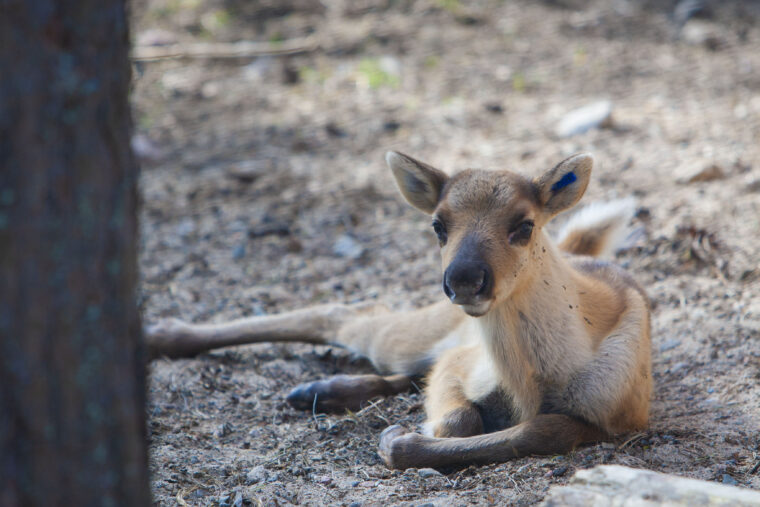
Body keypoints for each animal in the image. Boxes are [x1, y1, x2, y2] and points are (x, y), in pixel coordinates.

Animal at [148, 153, 652, 470]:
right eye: (438, 225)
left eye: (524, 225)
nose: (464, 279)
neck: (534, 381)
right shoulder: (459, 361)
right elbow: (460, 419)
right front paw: (406, 433)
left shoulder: (620, 414)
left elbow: (544, 431)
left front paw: (398, 438)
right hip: (416, 330)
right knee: (345, 314)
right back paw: (163, 334)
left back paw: (318, 391)